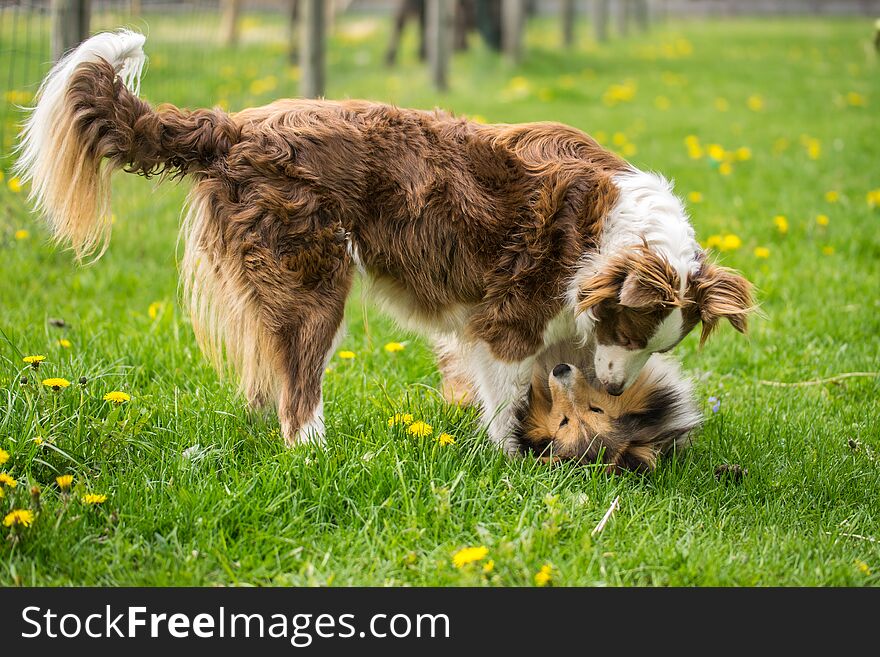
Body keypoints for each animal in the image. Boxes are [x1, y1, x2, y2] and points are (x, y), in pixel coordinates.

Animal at [13, 30, 748, 452]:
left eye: (655, 344)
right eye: (629, 326)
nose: (610, 382)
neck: (609, 233)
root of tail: (235, 126)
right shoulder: (507, 322)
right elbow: (511, 398)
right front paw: (516, 460)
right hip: (312, 282)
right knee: (298, 392)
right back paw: (315, 454)